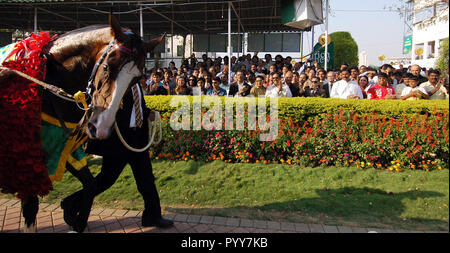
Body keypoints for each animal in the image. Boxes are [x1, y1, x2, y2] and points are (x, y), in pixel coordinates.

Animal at [0, 16, 165, 233]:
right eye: (107, 66)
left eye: (136, 79)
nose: (100, 127)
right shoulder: (27, 156)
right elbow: (30, 207)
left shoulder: (63, 147)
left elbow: (91, 185)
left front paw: (75, 220)